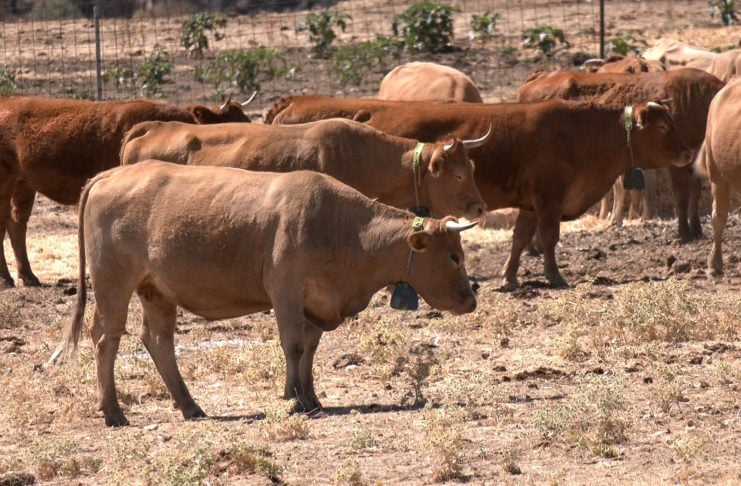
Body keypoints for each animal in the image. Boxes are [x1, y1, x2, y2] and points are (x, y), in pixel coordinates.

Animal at [48, 160, 478, 426]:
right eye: (453, 256)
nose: (471, 299)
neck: (343, 228)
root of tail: (109, 175)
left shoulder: (315, 303)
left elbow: (309, 349)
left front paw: (311, 398)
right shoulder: (285, 291)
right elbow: (293, 345)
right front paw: (293, 399)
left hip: (156, 291)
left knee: (158, 341)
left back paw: (190, 405)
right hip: (113, 284)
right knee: (106, 339)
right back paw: (113, 412)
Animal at [265, 95, 695, 289]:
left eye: (672, 121)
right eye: (661, 127)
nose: (690, 151)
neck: (579, 133)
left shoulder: (531, 203)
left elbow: (521, 238)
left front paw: (510, 277)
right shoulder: (549, 198)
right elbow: (549, 238)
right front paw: (554, 276)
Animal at [518, 68, 725, 241]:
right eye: (662, 126)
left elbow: (695, 193)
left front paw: (697, 230)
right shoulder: (677, 162)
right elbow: (681, 195)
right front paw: (684, 233)